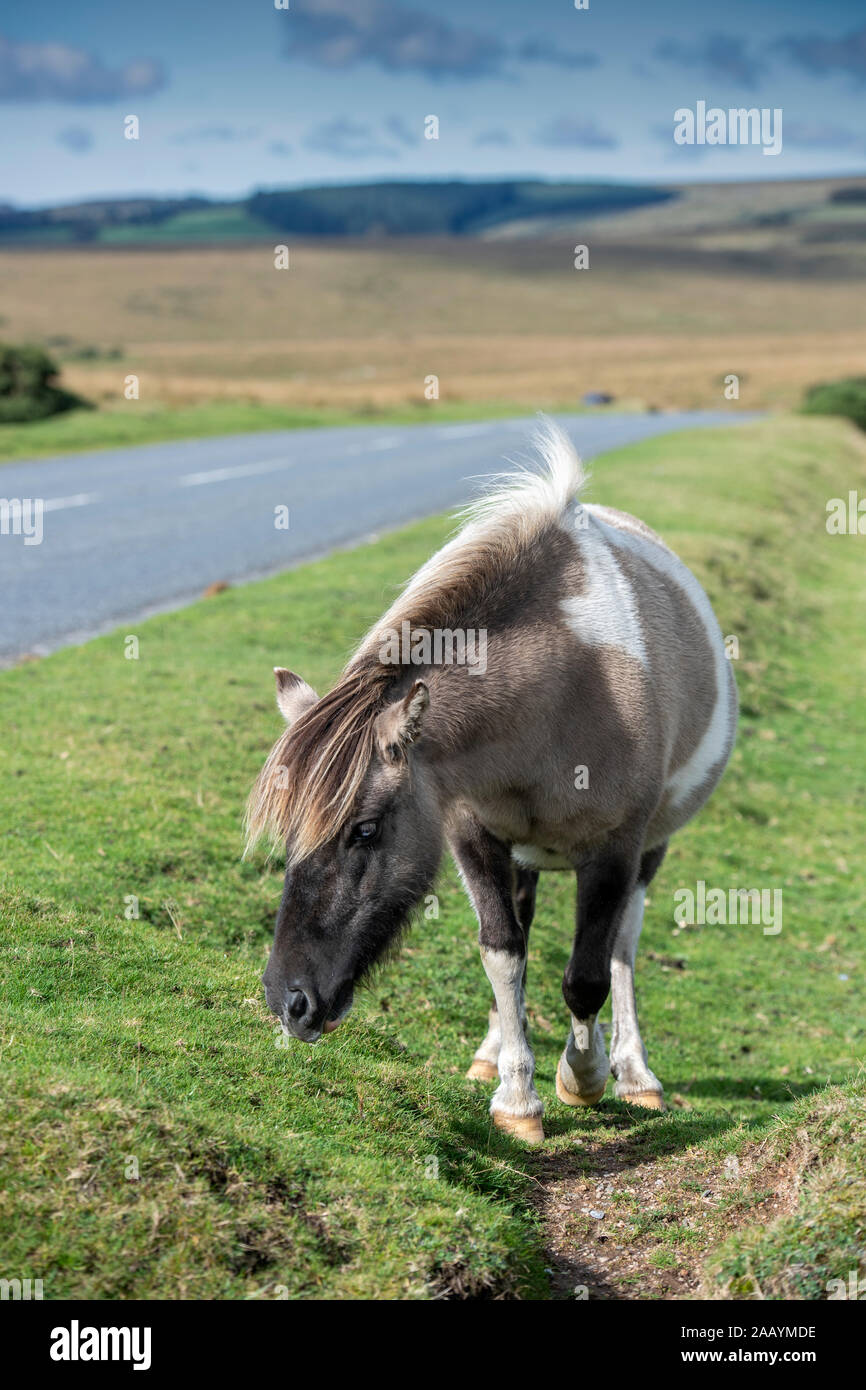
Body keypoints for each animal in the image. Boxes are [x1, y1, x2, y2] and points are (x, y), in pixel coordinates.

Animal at [246, 421, 737, 1144]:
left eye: (364, 830)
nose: (290, 1001)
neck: (568, 683)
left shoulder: (617, 850)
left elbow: (587, 977)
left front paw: (582, 1077)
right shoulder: (471, 834)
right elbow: (503, 952)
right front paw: (516, 1097)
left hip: (650, 849)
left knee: (622, 946)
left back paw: (634, 1074)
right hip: (524, 854)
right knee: (524, 935)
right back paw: (496, 1051)